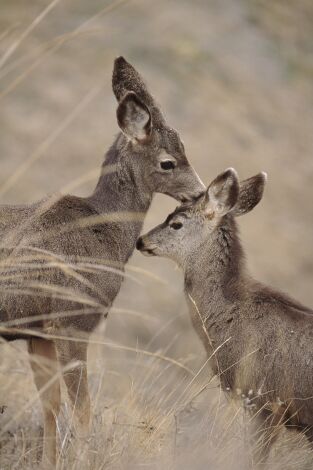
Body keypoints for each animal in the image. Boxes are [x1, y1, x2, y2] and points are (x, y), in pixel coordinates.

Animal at [0, 57, 204, 464]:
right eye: (168, 162)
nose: (200, 192)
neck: (105, 228)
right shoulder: (73, 320)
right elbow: (82, 412)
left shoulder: (38, 330)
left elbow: (51, 405)